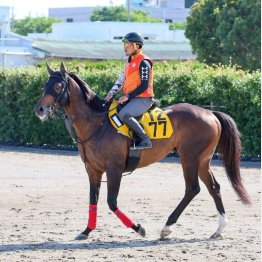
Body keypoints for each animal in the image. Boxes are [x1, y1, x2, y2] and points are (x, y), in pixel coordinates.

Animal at [33, 63, 251, 242]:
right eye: (45, 85)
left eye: (58, 86)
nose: (40, 109)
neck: (97, 123)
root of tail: (210, 113)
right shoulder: (92, 170)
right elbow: (93, 200)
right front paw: (86, 231)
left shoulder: (114, 169)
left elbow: (111, 202)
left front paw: (138, 228)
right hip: (202, 161)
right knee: (213, 187)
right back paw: (219, 229)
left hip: (189, 158)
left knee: (192, 189)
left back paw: (166, 227)